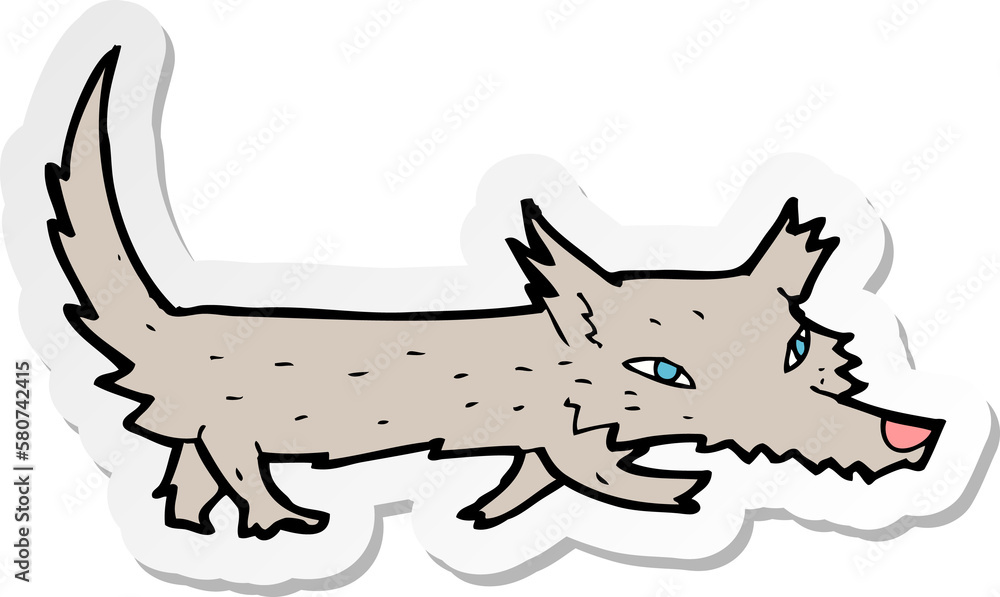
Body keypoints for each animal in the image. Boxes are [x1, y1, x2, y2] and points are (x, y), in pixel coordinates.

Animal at [45, 47, 944, 540]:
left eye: (798, 347)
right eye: (664, 371)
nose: (914, 432)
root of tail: (176, 324)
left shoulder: (547, 439)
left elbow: (535, 478)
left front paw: (486, 512)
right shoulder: (566, 427)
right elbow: (594, 470)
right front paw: (673, 487)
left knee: (190, 462)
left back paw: (194, 527)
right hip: (238, 420)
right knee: (234, 460)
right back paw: (284, 520)